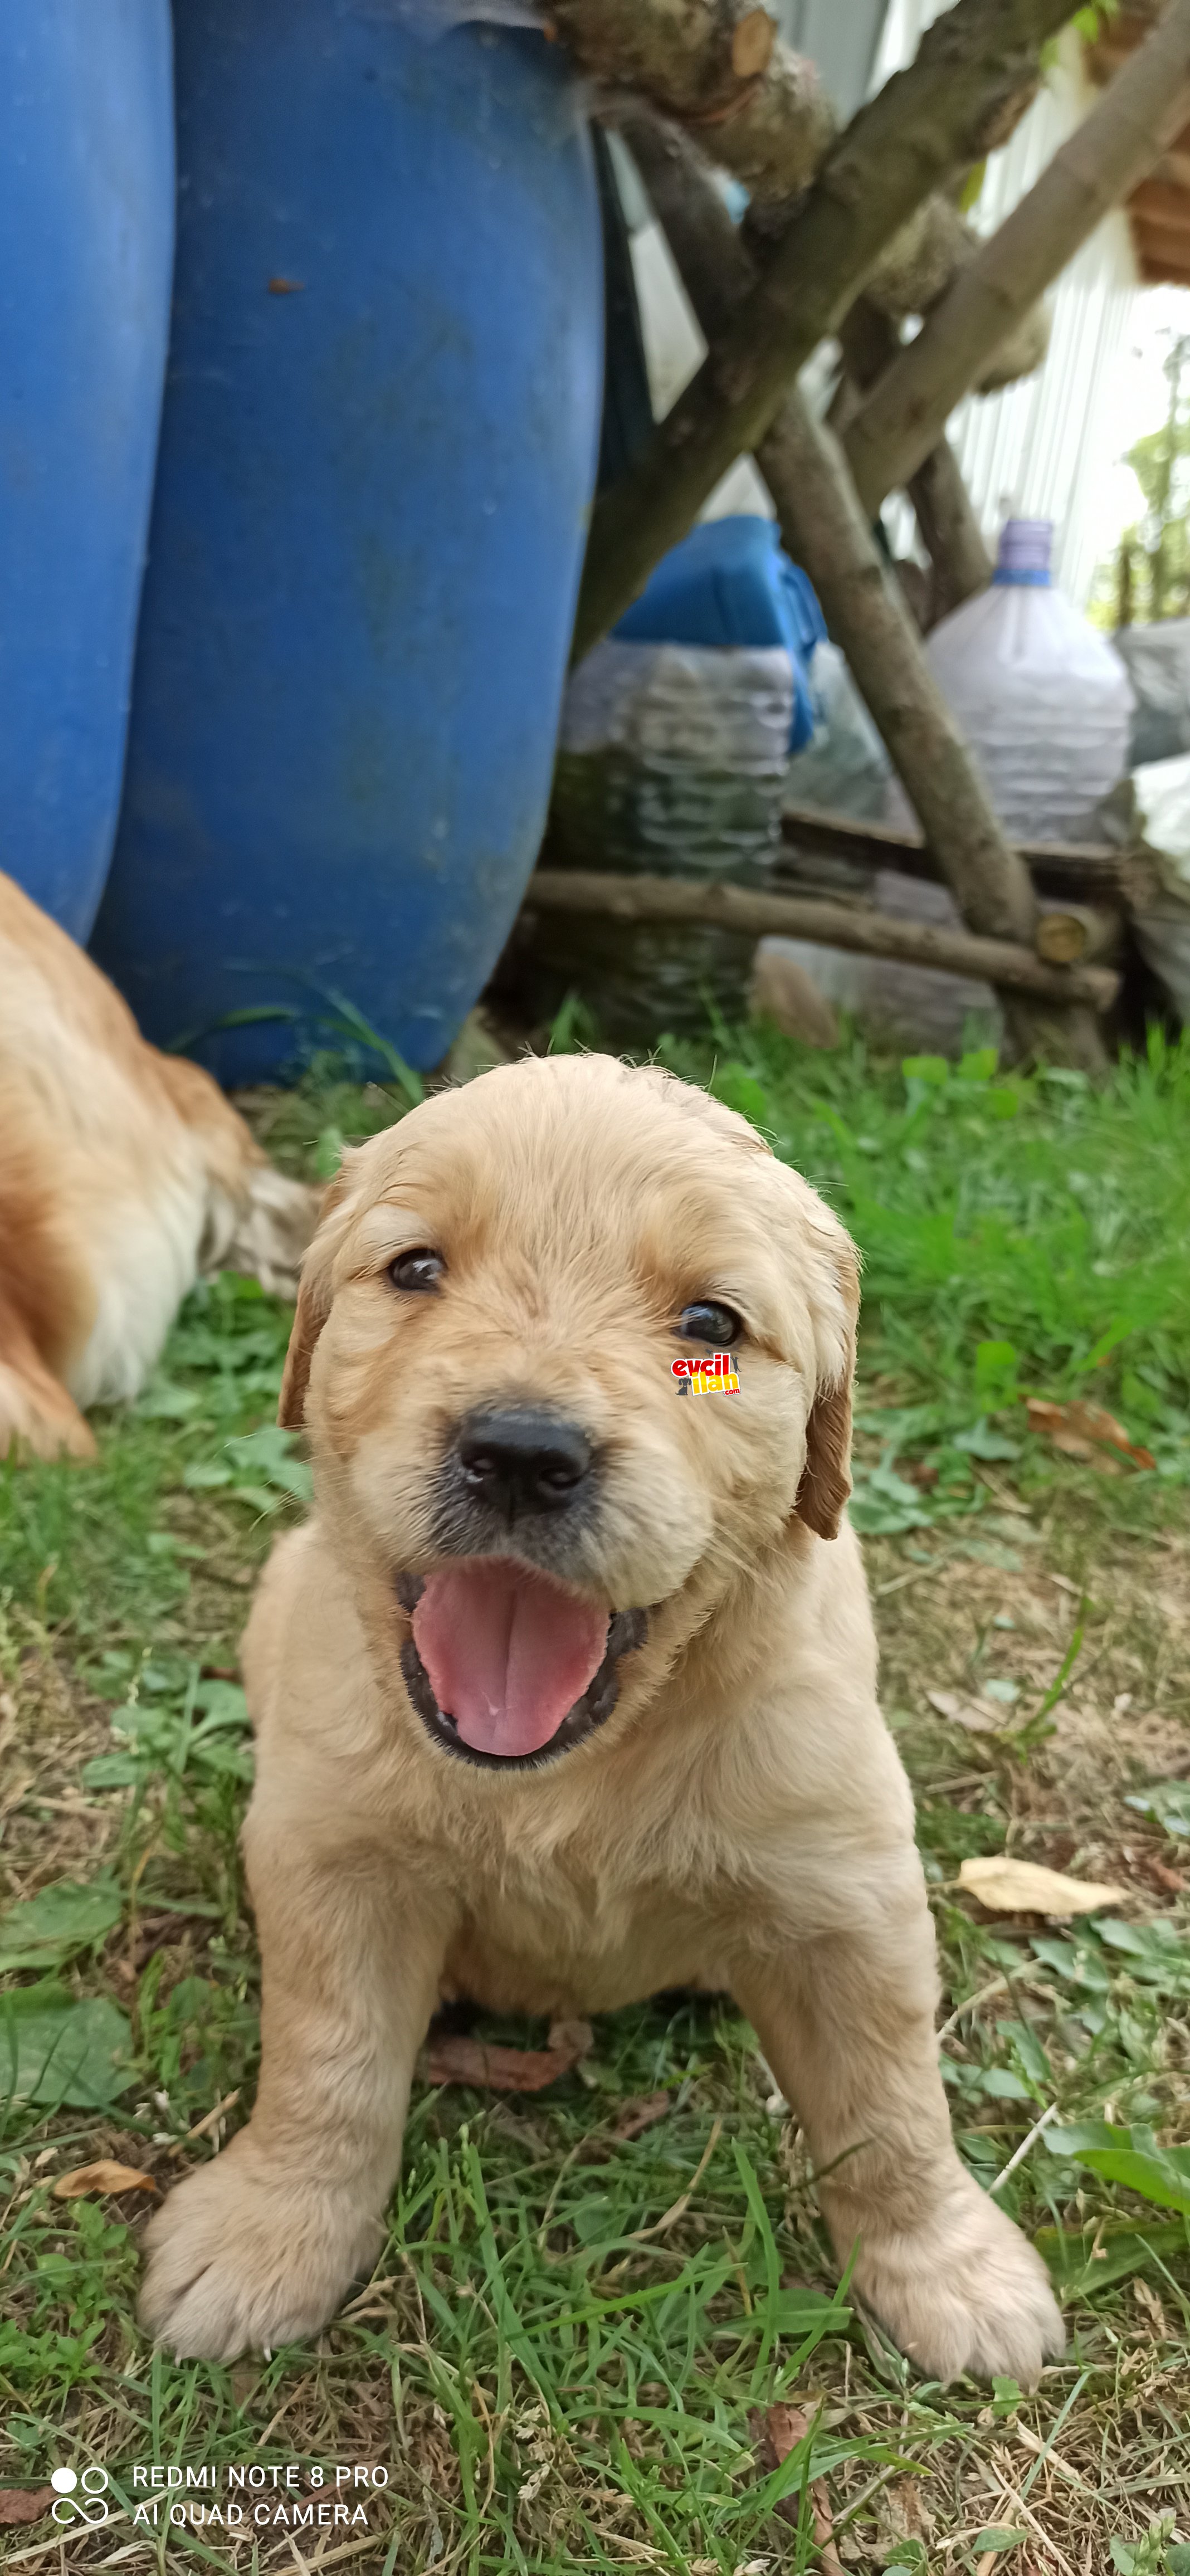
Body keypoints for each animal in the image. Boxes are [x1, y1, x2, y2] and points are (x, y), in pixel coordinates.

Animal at [142, 1056, 1071, 2380]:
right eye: (415, 1268)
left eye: (712, 1326)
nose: (522, 1452)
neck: (569, 1767)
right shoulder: (333, 1858)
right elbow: (328, 2062)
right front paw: (269, 2235)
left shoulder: (848, 1891)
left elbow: (890, 2100)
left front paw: (950, 2270)